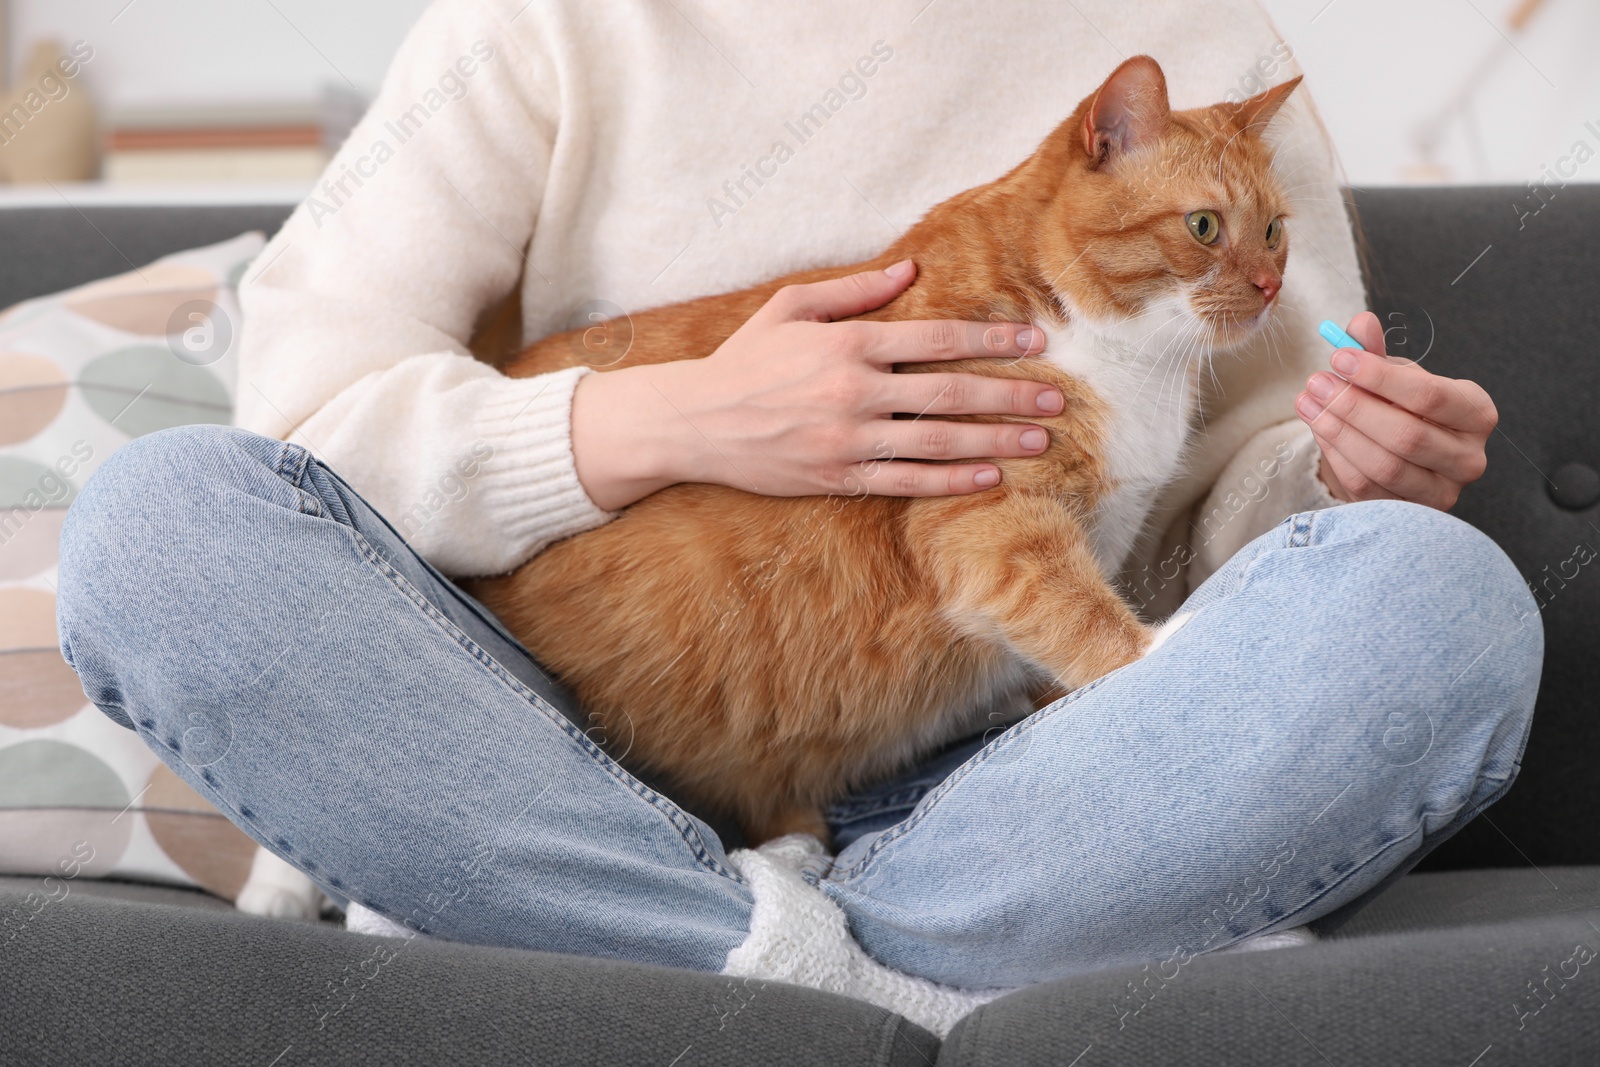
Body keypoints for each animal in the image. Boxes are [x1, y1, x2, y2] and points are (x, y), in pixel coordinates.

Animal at [467, 56, 1305, 844]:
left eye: (1274, 231)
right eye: (1204, 226)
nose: (1269, 287)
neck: (1124, 358)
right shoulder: (988, 521)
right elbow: (1076, 609)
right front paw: (1162, 647)